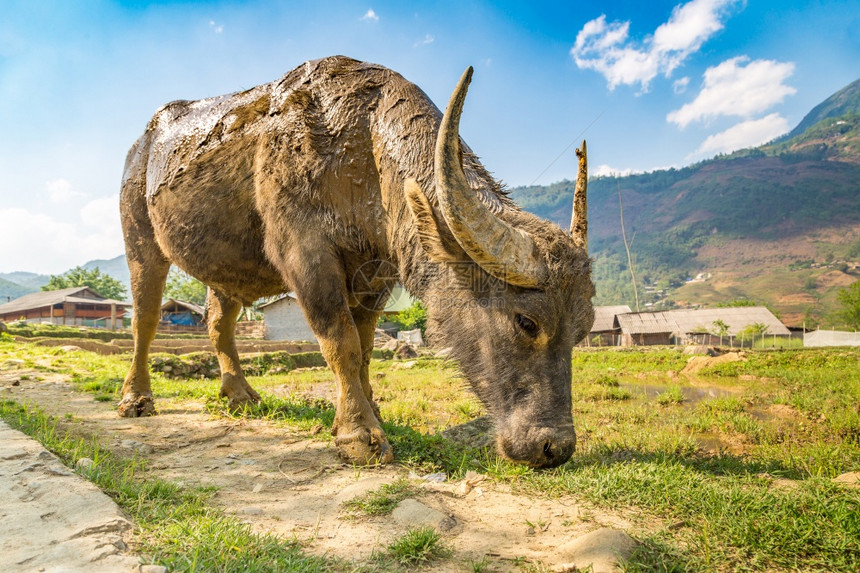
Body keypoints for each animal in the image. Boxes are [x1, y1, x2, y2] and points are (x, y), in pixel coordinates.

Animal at [121, 53, 592, 466]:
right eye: (526, 322)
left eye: (581, 331)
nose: (555, 448)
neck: (362, 152)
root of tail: (142, 145)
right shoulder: (305, 255)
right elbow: (340, 342)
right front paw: (359, 434)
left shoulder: (378, 272)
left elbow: (365, 348)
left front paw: (373, 411)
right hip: (139, 240)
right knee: (145, 318)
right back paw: (137, 398)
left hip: (226, 268)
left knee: (219, 323)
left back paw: (239, 394)